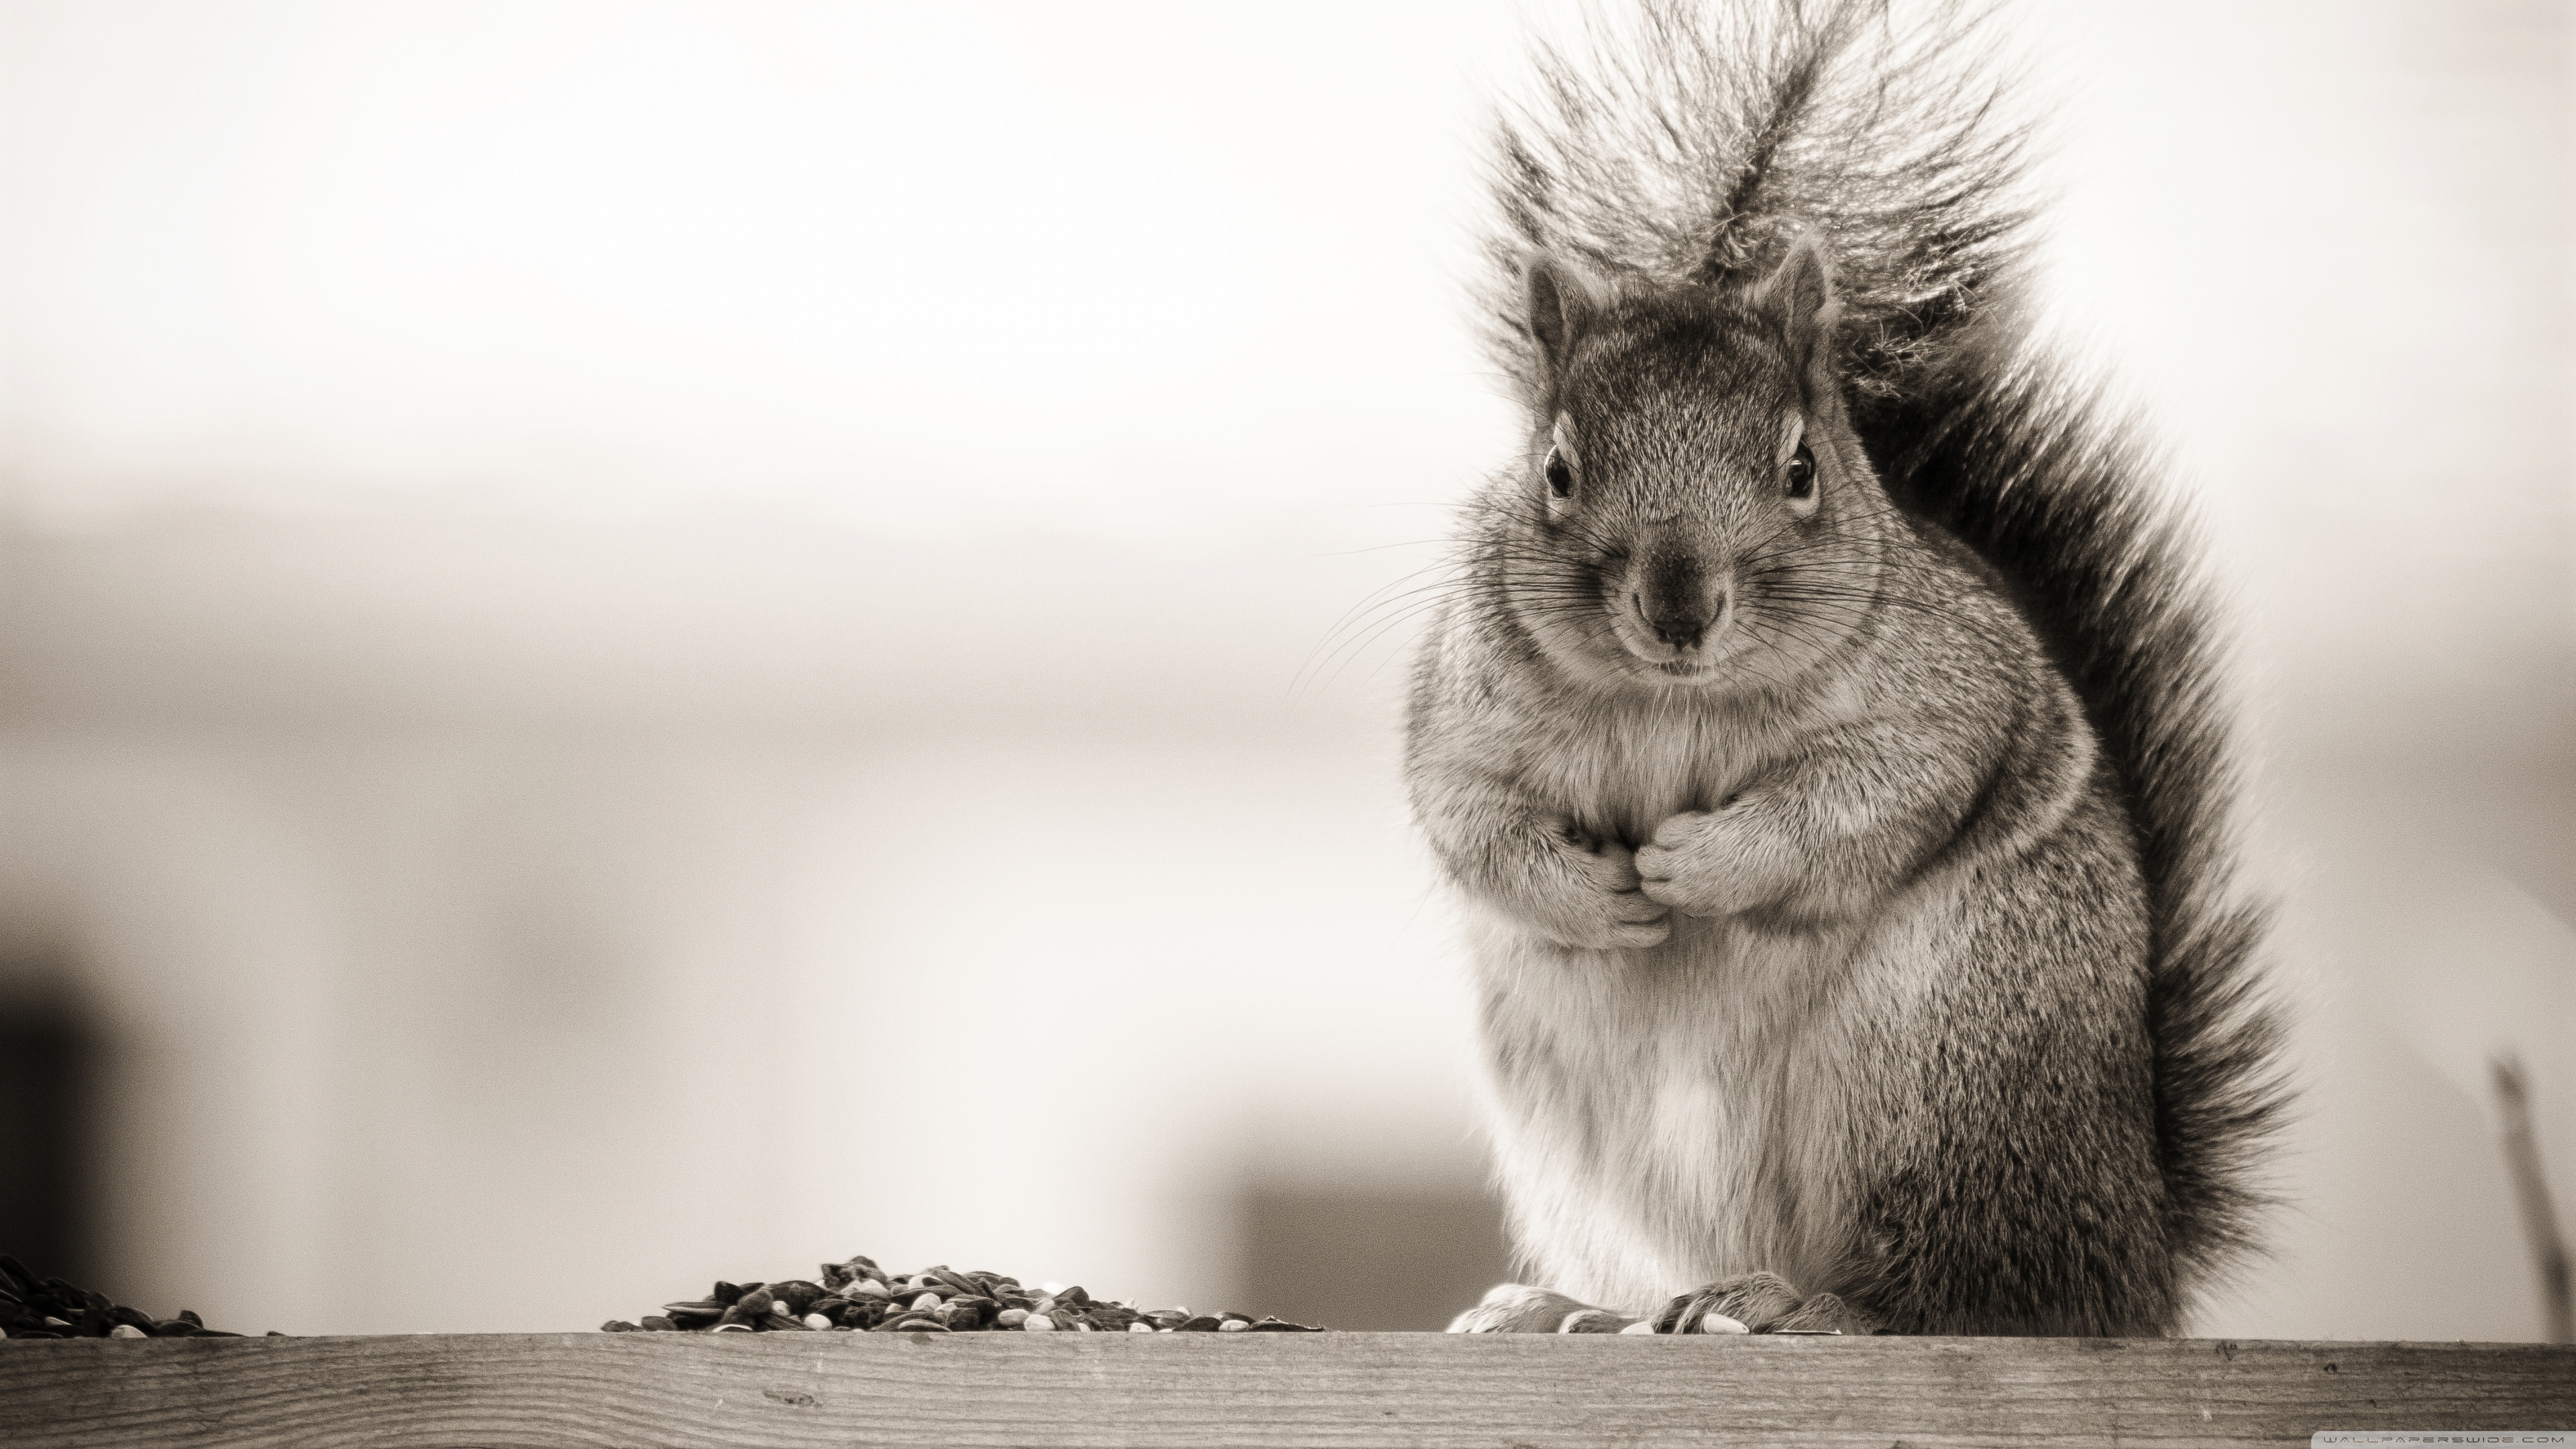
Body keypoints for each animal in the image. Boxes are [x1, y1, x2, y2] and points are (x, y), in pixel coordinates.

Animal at [1408, 0, 2288, 1337]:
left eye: (1801, 469)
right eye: (1557, 468)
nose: (1679, 608)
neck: (1675, 702)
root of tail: (2135, 1254)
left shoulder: (1948, 696)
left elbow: (1865, 798)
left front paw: (1698, 864)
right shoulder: (1464, 707)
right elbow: (1468, 817)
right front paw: (1597, 896)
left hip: (1941, 1075)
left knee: (1970, 1297)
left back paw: (1814, 1308)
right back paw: (1573, 1309)